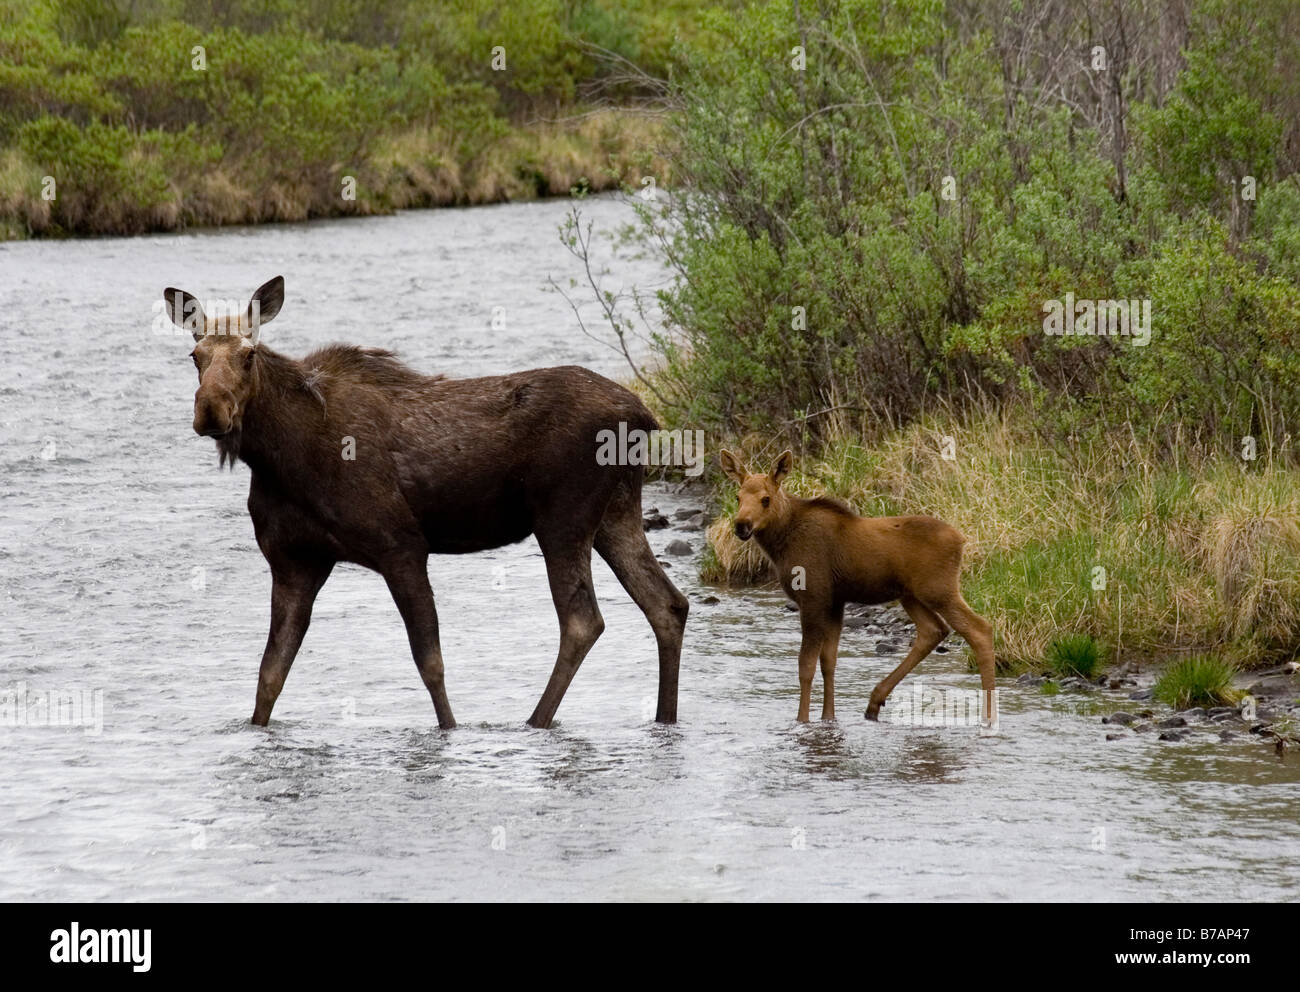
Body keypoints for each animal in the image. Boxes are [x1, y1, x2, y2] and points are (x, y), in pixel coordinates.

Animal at [167, 275, 686, 733]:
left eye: (248, 355)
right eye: (195, 355)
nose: (210, 410)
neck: (279, 459)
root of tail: (644, 414)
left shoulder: (401, 546)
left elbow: (429, 661)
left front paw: (452, 730)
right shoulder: (294, 561)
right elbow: (269, 676)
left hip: (563, 517)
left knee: (583, 621)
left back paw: (535, 721)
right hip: (615, 513)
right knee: (668, 604)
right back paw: (664, 717)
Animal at [722, 449, 993, 728]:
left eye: (765, 499)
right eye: (737, 496)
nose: (741, 524)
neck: (780, 545)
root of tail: (962, 540)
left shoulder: (813, 597)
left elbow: (805, 666)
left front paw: (802, 720)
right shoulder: (835, 601)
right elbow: (828, 662)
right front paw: (828, 718)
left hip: (938, 589)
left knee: (980, 630)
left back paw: (988, 716)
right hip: (911, 595)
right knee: (933, 630)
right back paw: (875, 701)